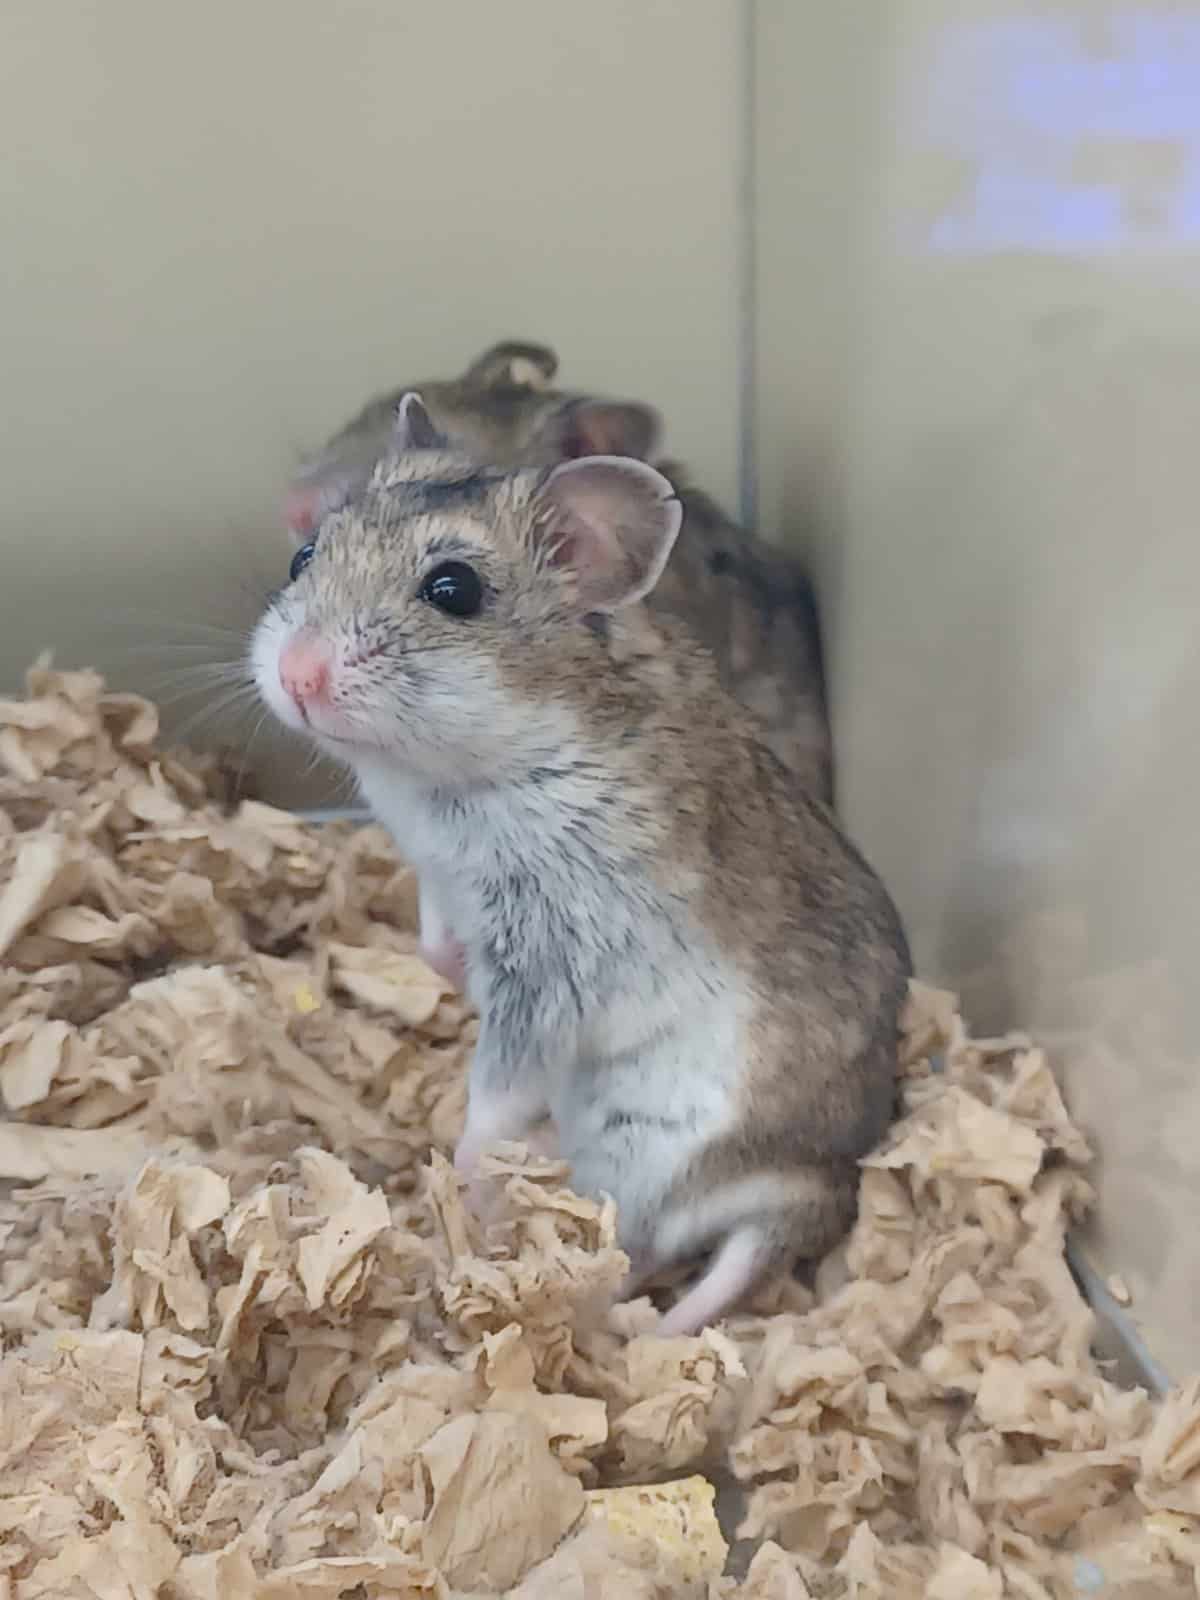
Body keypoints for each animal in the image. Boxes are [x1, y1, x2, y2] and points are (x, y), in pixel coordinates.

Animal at [252, 393, 911, 1336]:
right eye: (304, 556)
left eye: (454, 590)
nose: (295, 674)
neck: (455, 774)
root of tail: (827, 1178)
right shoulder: (440, 878)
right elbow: (432, 938)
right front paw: (446, 972)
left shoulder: (550, 970)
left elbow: (495, 1084)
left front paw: (465, 1158)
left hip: (662, 1155)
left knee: (684, 1258)